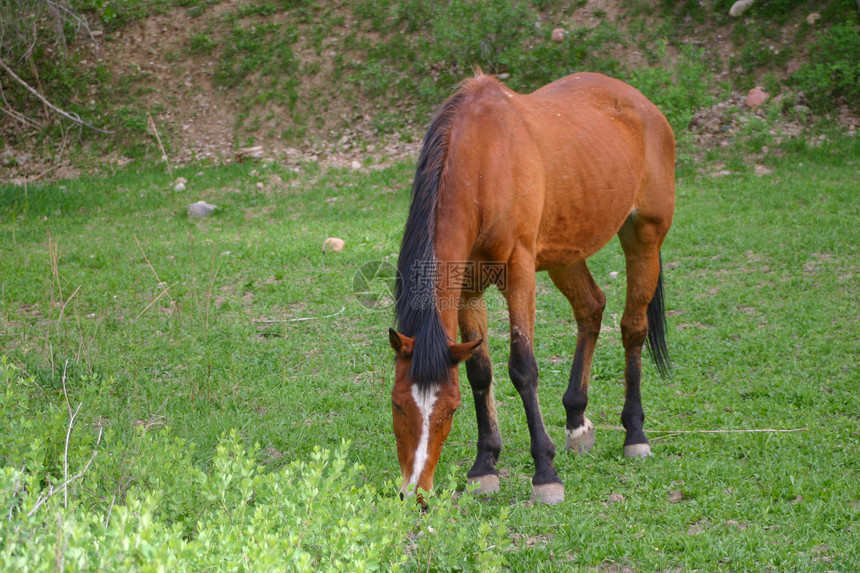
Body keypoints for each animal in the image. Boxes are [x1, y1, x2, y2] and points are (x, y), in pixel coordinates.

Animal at [386, 69, 676, 502]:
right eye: (397, 404)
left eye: (450, 409)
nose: (415, 492)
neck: (483, 164)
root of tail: (642, 103)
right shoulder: (468, 286)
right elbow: (480, 371)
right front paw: (484, 465)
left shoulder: (519, 273)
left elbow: (523, 367)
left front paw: (545, 472)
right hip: (566, 251)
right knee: (591, 308)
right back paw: (577, 421)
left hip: (645, 237)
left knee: (633, 328)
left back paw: (635, 434)